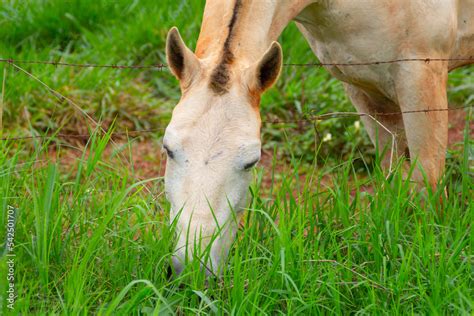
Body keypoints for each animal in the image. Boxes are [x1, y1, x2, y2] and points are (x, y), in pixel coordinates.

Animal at [164, 0, 474, 274]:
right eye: (167, 149)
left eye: (252, 161)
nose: (191, 269)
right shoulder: (366, 88)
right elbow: (394, 180)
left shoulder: (421, 77)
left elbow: (426, 191)